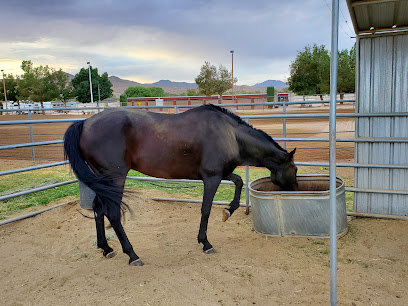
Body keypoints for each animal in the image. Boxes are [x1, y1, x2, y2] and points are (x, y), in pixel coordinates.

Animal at [65, 104, 298, 266]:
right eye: (295, 170)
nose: (295, 189)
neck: (230, 134)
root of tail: (84, 123)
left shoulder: (221, 173)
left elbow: (239, 182)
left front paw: (228, 211)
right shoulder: (212, 178)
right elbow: (205, 209)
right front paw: (205, 242)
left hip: (103, 180)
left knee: (98, 208)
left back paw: (106, 248)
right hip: (115, 178)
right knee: (112, 213)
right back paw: (132, 254)